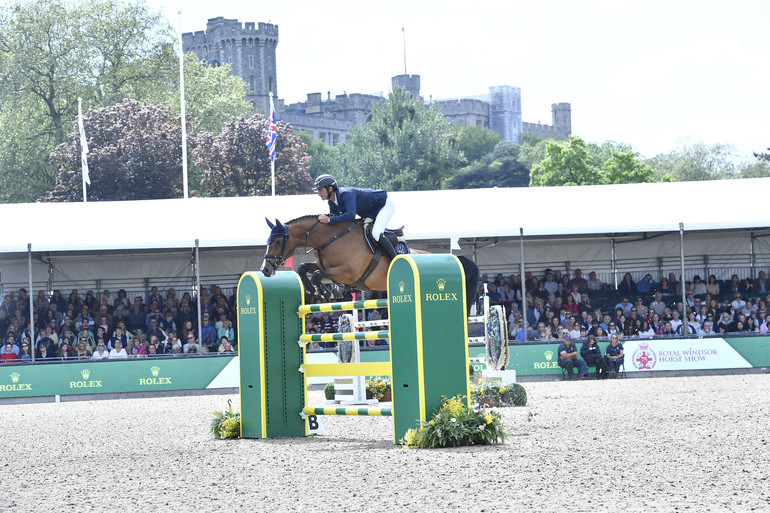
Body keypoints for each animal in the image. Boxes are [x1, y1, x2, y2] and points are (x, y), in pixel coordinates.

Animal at [260, 214, 476, 314]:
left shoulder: (348, 273)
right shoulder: (323, 264)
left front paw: (328, 292)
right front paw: (315, 290)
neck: (330, 238)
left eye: (277, 241)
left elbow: (318, 275)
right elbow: (303, 268)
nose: (265, 270)